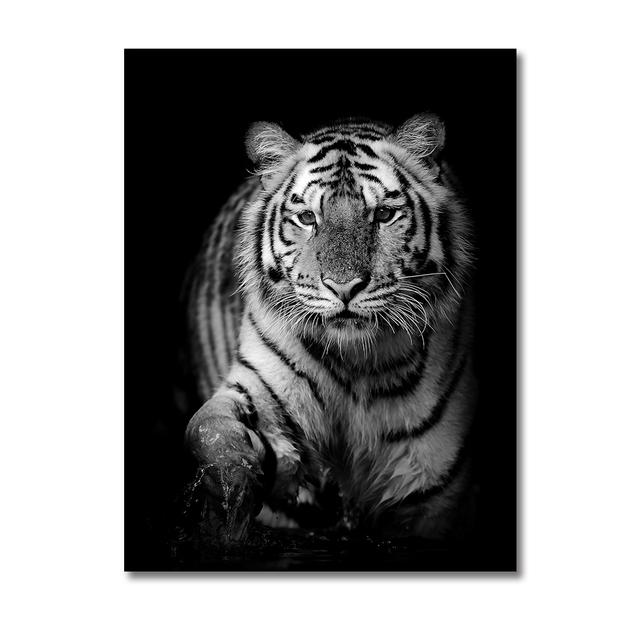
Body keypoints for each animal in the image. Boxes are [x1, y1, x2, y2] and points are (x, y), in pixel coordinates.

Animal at [185, 113, 477, 544]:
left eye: (383, 215)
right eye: (308, 218)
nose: (343, 286)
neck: (356, 362)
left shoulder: (434, 493)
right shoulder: (258, 385)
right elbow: (210, 428)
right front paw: (233, 486)